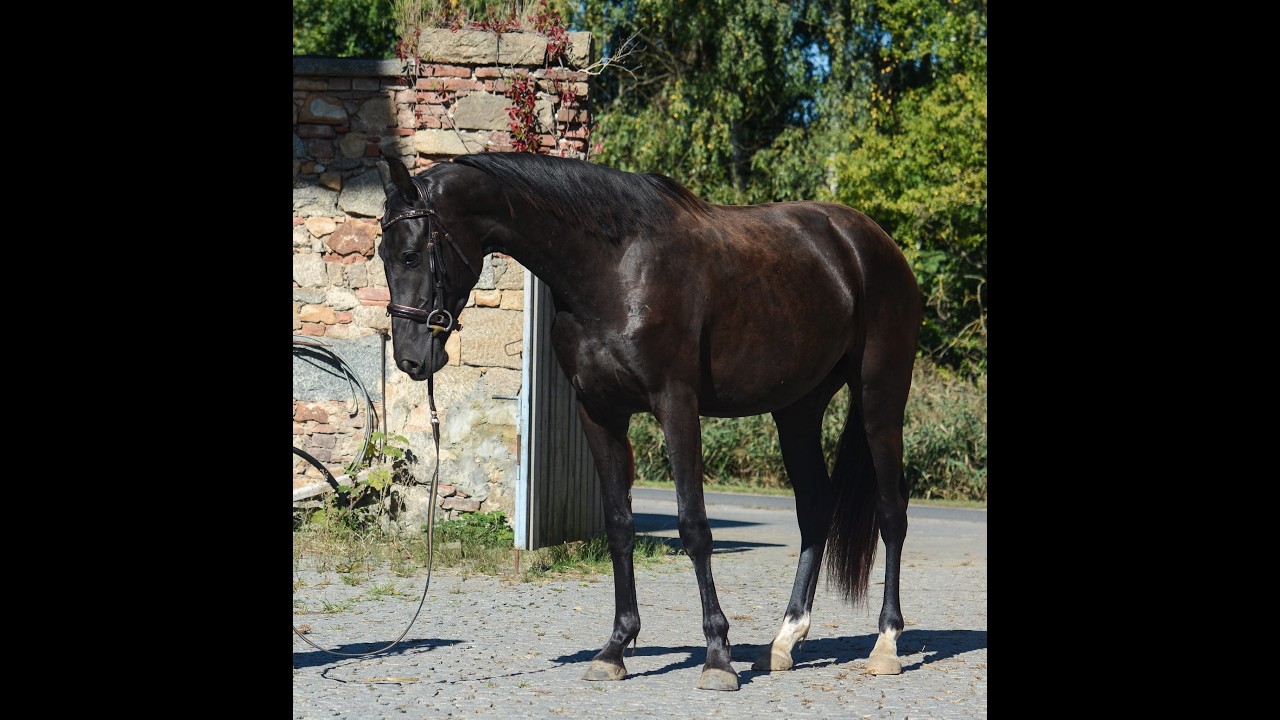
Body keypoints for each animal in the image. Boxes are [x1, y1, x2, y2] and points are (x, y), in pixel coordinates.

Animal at [374, 152, 922, 691]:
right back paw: (785, 641)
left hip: (880, 396)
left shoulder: (676, 405)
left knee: (891, 512)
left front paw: (718, 657)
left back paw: (886, 644)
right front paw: (615, 649)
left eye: (411, 255)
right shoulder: (598, 412)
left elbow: (693, 526)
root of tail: (871, 242)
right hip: (798, 410)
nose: (410, 359)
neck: (612, 269)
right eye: (382, 254)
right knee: (815, 509)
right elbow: (619, 527)